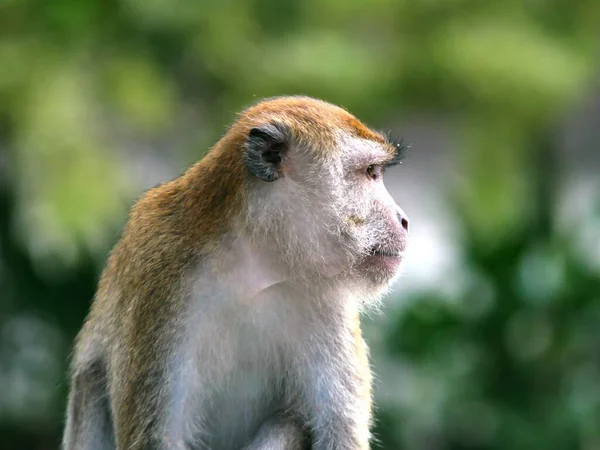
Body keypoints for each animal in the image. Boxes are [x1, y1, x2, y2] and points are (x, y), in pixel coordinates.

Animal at [62, 96, 408, 448]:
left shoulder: (327, 303)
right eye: (370, 172)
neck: (255, 262)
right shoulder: (158, 279)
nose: (404, 219)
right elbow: (156, 438)